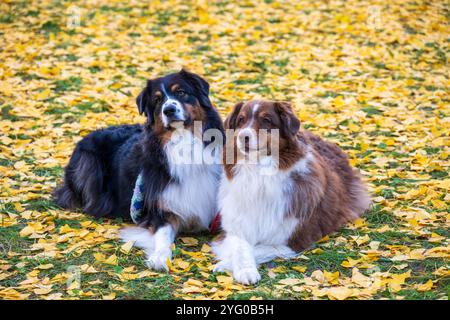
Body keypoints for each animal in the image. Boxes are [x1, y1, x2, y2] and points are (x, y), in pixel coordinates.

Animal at [53, 70, 224, 270]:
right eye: (157, 100)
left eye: (181, 92)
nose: (168, 110)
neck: (184, 144)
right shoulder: (159, 210)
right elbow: (162, 234)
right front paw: (160, 257)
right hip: (88, 163)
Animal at [213, 100, 370, 284]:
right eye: (241, 120)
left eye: (266, 120)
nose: (242, 136)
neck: (259, 173)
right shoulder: (236, 225)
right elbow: (241, 247)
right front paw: (244, 269)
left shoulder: (296, 239)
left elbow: (260, 248)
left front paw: (226, 263)